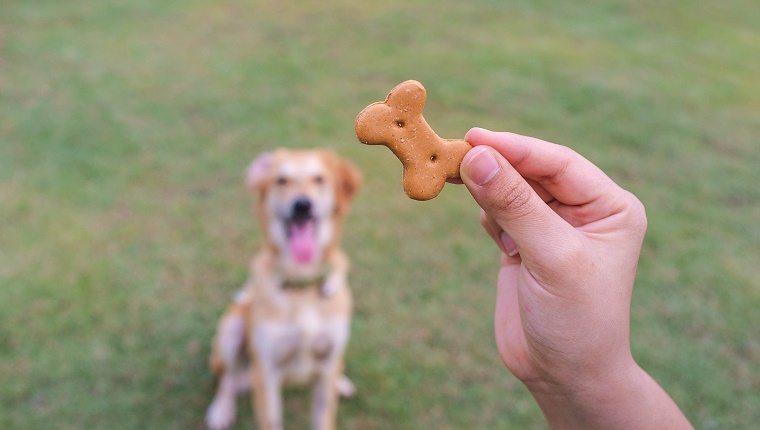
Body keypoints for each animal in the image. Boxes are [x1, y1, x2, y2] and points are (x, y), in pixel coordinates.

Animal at [205, 149, 362, 430]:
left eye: (319, 179)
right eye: (281, 180)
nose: (302, 205)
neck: (301, 283)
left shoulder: (327, 364)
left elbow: (324, 415)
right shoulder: (266, 374)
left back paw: (342, 383)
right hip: (231, 329)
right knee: (227, 378)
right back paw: (221, 409)